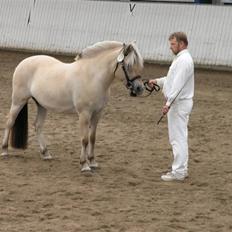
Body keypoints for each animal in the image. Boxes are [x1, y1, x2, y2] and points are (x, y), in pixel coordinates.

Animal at [0, 40, 144, 171]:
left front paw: (93, 162)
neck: (92, 77)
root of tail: (23, 62)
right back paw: (5, 151)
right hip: (18, 101)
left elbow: (92, 138)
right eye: (128, 65)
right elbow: (84, 139)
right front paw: (84, 165)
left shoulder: (97, 113)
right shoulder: (84, 114)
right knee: (9, 122)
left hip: (41, 105)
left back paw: (46, 153)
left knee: (38, 126)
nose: (140, 88)